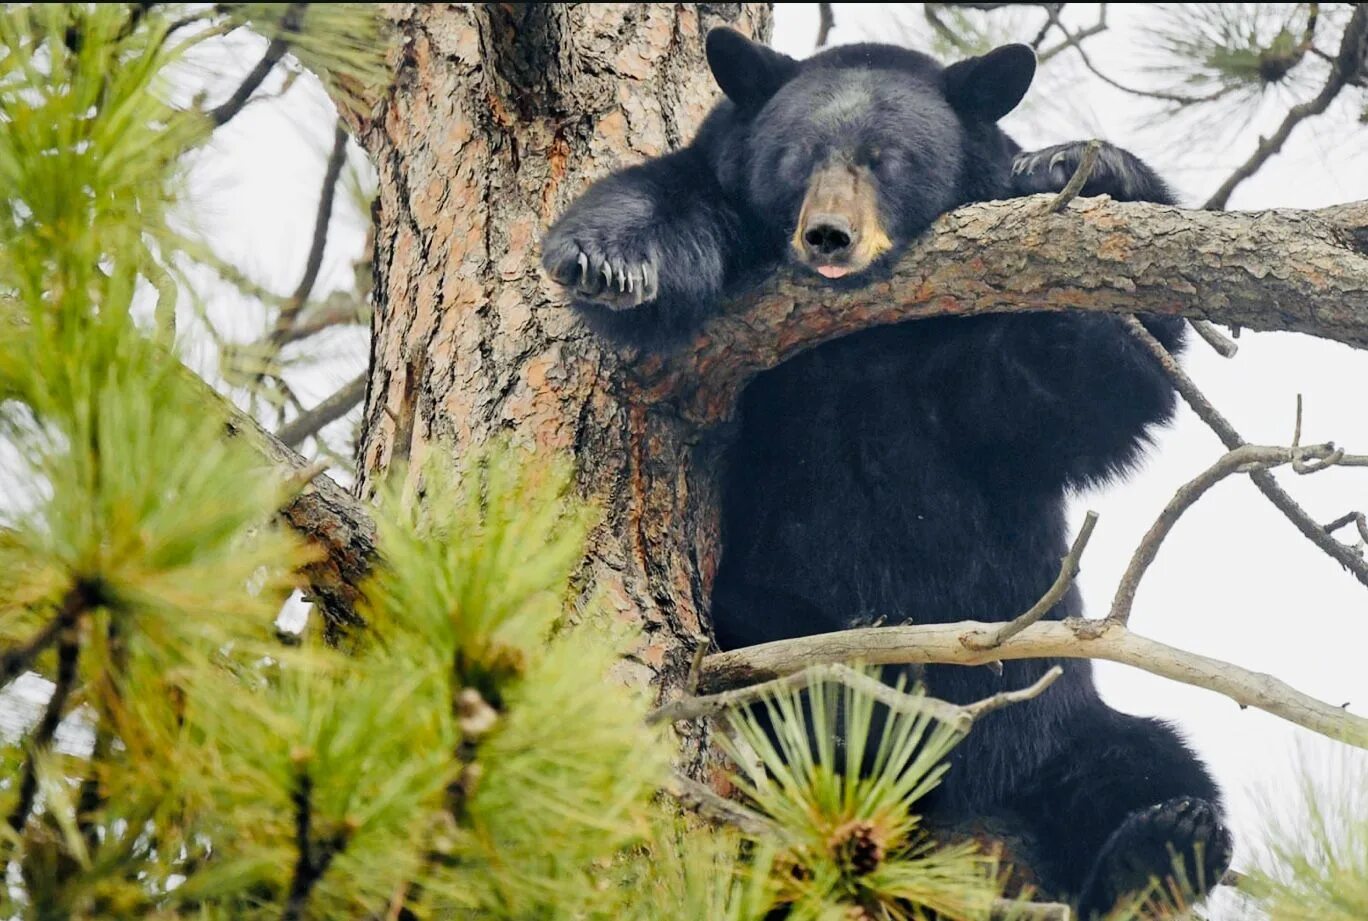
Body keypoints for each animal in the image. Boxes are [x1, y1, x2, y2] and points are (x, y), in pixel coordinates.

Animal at [538, 25, 1236, 914]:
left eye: (890, 159)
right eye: (797, 156)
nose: (828, 236)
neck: (863, 341)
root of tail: (963, 827)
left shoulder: (969, 376)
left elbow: (1099, 381)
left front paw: (1078, 166)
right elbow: (667, 200)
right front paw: (608, 259)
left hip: (1054, 722)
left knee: (1145, 765)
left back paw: (1161, 840)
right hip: (777, 635)